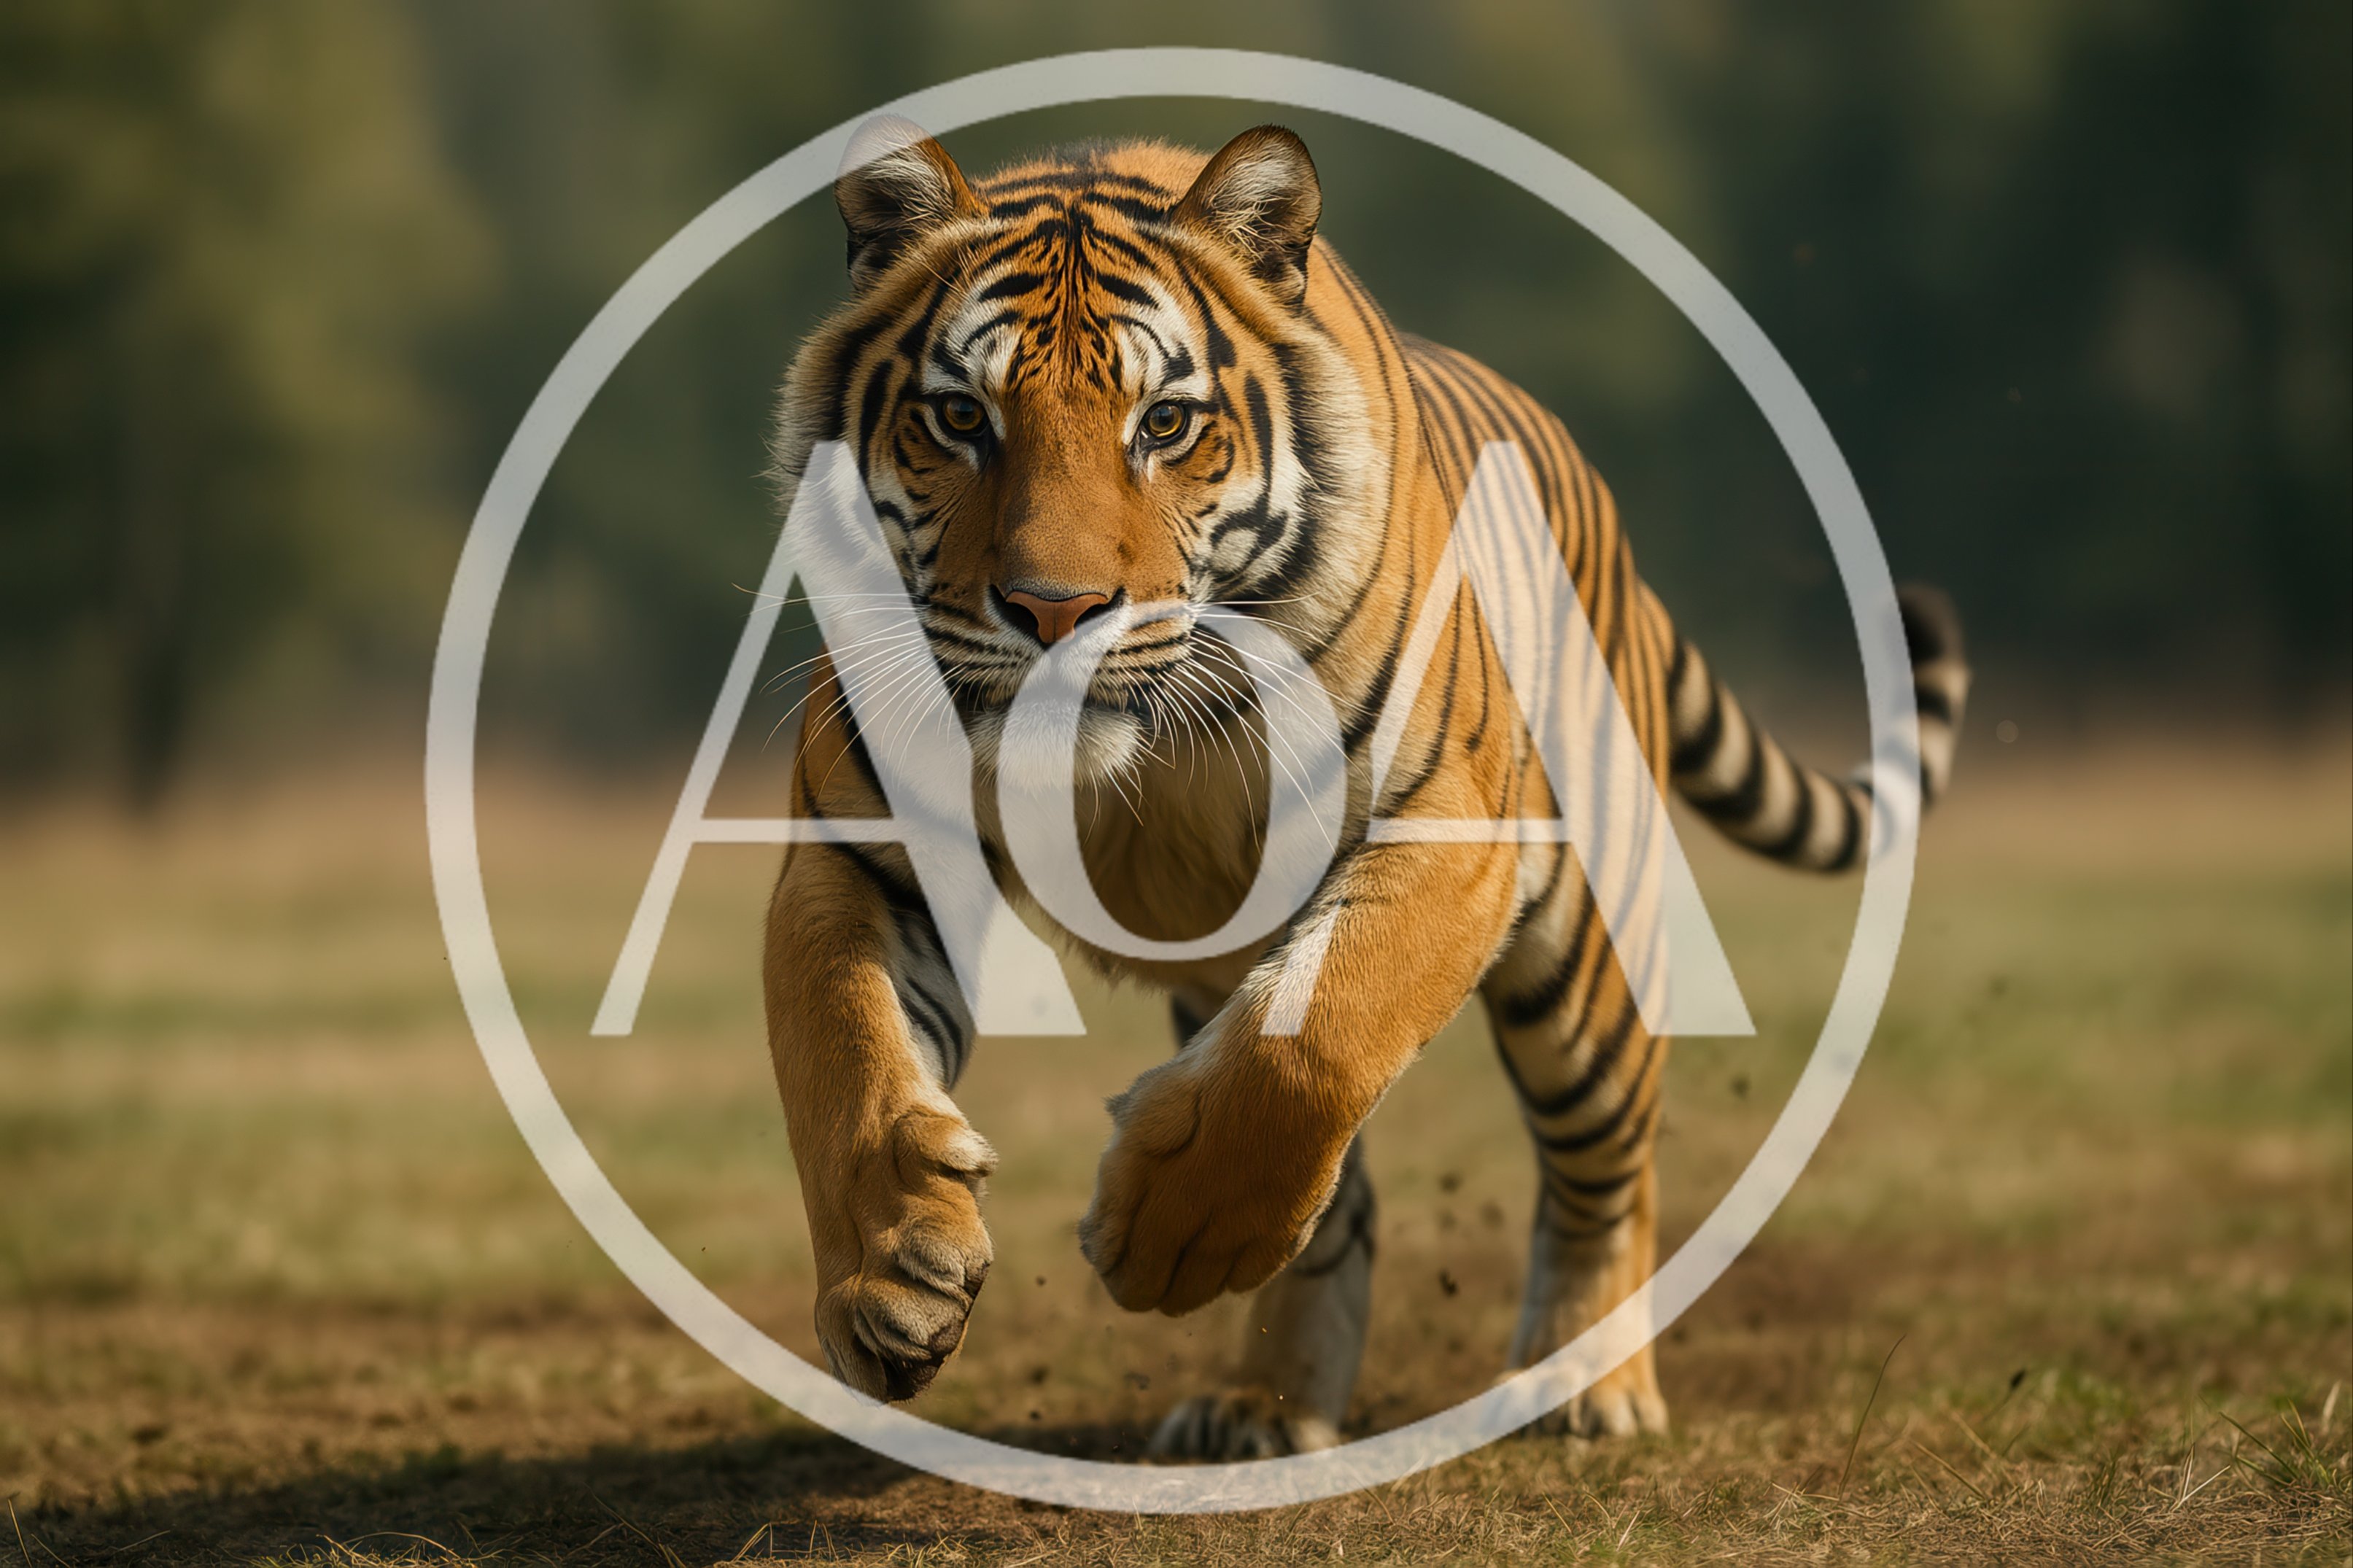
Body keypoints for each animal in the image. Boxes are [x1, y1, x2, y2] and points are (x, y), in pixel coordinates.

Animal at [760, 121, 1969, 1457]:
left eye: (1164, 423)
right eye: (959, 416)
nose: (1055, 611)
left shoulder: (1450, 830)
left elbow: (1320, 1045)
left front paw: (1164, 1239)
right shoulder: (859, 849)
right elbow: (839, 1044)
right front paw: (890, 1278)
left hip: (1582, 962)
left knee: (1608, 1164)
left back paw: (1585, 1387)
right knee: (1337, 1193)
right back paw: (1263, 1407)